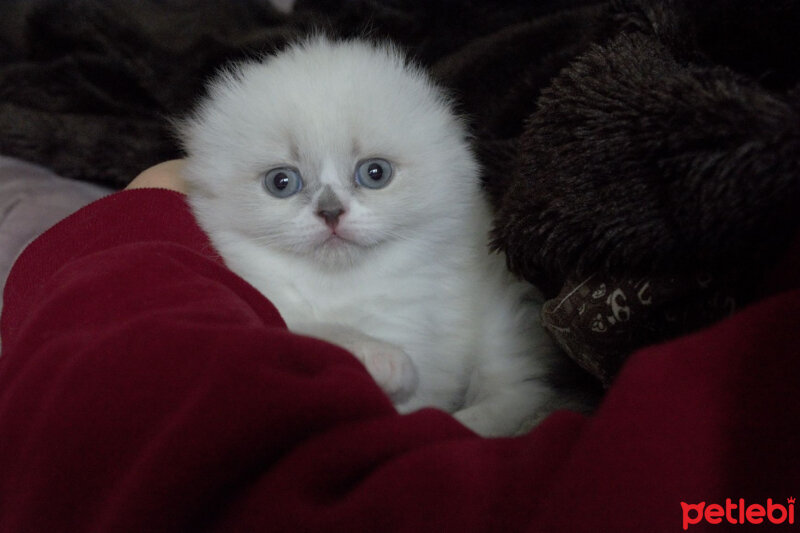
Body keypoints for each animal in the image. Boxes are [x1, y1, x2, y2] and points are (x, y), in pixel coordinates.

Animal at [178, 37, 564, 436]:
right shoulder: (270, 301)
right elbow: (316, 330)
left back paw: (471, 421)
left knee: (517, 391)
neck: (341, 286)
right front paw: (385, 361)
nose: (331, 212)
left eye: (375, 173)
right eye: (281, 182)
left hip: (499, 322)